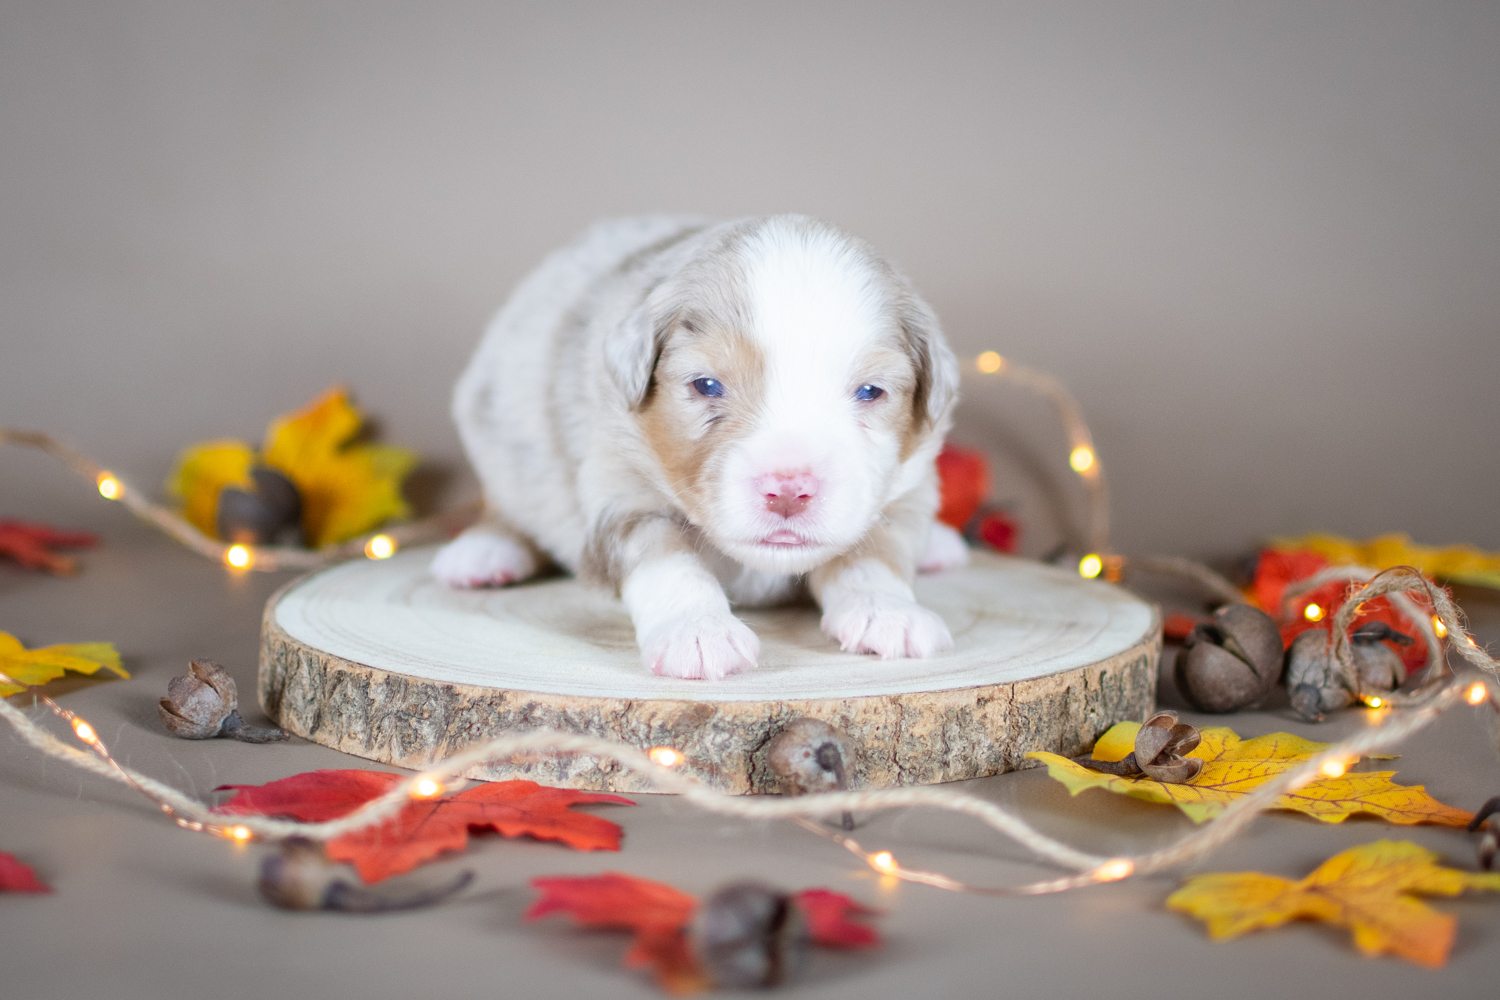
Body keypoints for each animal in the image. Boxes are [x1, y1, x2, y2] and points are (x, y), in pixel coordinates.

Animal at [432, 217, 972, 680]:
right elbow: (669, 560)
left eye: (870, 391)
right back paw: (483, 553)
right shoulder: (622, 487)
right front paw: (697, 632)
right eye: (707, 385)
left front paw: (890, 612)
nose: (788, 491)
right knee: (504, 508)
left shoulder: (910, 487)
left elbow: (875, 553)